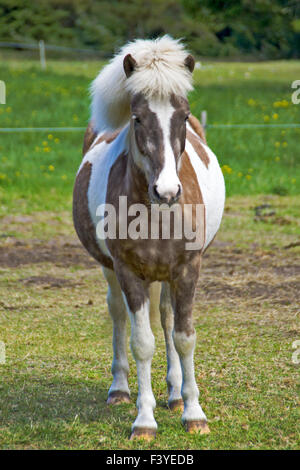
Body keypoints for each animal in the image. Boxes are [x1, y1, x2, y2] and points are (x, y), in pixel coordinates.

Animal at [72, 35, 225, 440]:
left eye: (184, 117)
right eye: (137, 117)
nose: (167, 191)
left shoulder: (187, 269)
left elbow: (184, 337)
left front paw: (193, 413)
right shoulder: (128, 271)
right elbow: (142, 343)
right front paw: (143, 421)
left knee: (168, 319)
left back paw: (174, 395)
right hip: (112, 270)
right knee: (118, 314)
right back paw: (120, 390)